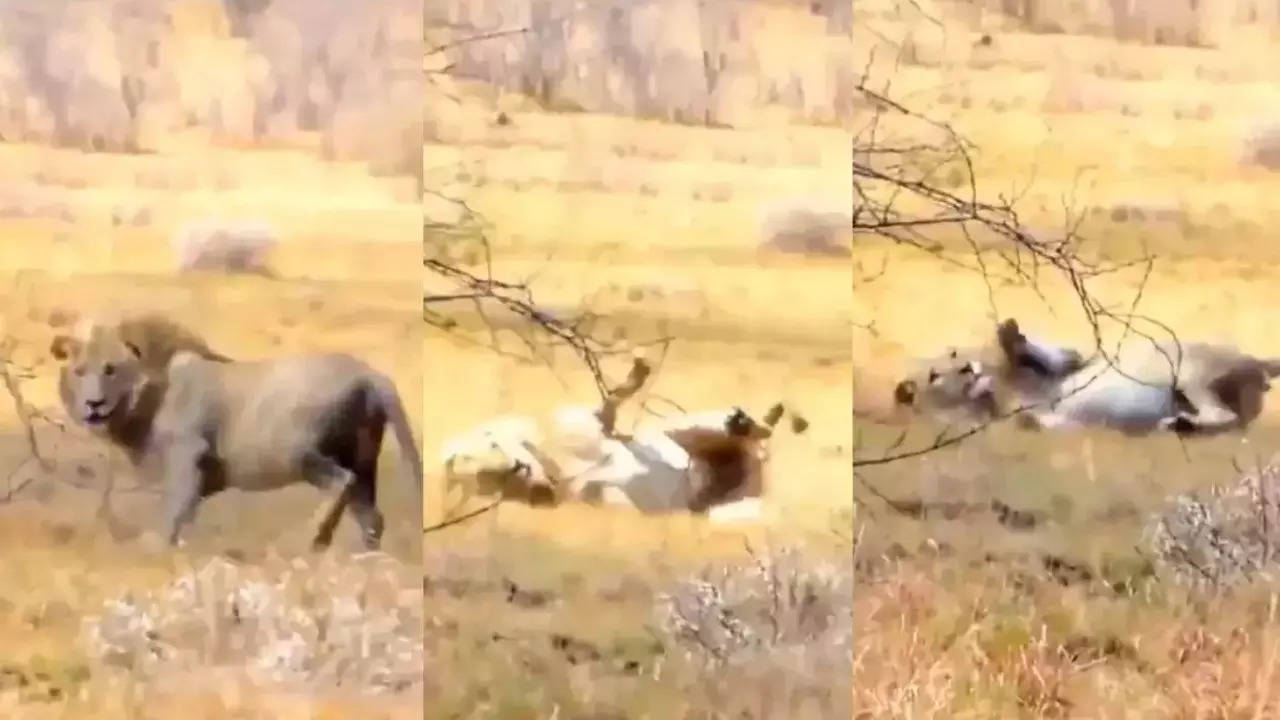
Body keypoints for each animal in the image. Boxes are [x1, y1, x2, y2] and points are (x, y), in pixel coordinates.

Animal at [49, 310, 422, 548]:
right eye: (80, 371)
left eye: (111, 369)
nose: (93, 404)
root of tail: (371, 375)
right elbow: (183, 514)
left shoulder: (188, 456)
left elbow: (171, 514)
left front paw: (155, 547)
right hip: (364, 461)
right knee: (372, 517)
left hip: (299, 453)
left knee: (341, 483)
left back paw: (309, 540)